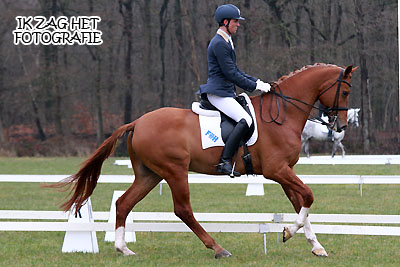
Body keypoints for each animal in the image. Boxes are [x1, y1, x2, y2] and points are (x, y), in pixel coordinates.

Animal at [52, 63, 356, 260]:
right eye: (344, 92)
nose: (340, 126)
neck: (282, 114)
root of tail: (137, 122)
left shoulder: (285, 172)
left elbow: (300, 202)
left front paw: (314, 245)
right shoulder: (276, 170)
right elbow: (309, 195)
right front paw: (288, 232)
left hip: (150, 174)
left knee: (124, 203)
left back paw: (123, 248)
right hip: (174, 170)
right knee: (182, 209)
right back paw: (218, 248)